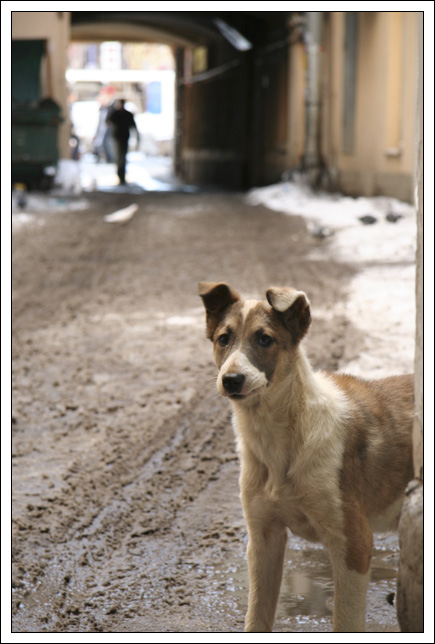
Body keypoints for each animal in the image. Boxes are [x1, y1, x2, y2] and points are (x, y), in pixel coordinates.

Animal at [199, 284, 414, 632]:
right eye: (223, 338)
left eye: (265, 339)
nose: (231, 380)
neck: (282, 440)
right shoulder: (264, 540)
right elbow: (256, 619)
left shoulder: (354, 543)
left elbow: (345, 621)